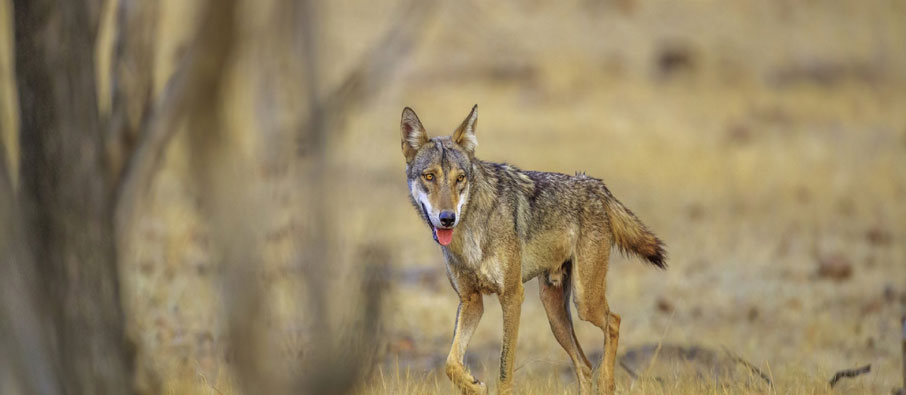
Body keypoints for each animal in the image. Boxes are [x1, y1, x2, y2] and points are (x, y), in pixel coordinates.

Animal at [398, 103, 664, 394]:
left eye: (460, 179)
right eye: (429, 176)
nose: (447, 218)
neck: (469, 234)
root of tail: (593, 184)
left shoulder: (512, 296)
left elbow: (504, 371)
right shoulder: (471, 301)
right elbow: (450, 363)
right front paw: (474, 384)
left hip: (584, 302)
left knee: (613, 321)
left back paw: (607, 383)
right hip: (555, 314)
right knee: (584, 364)